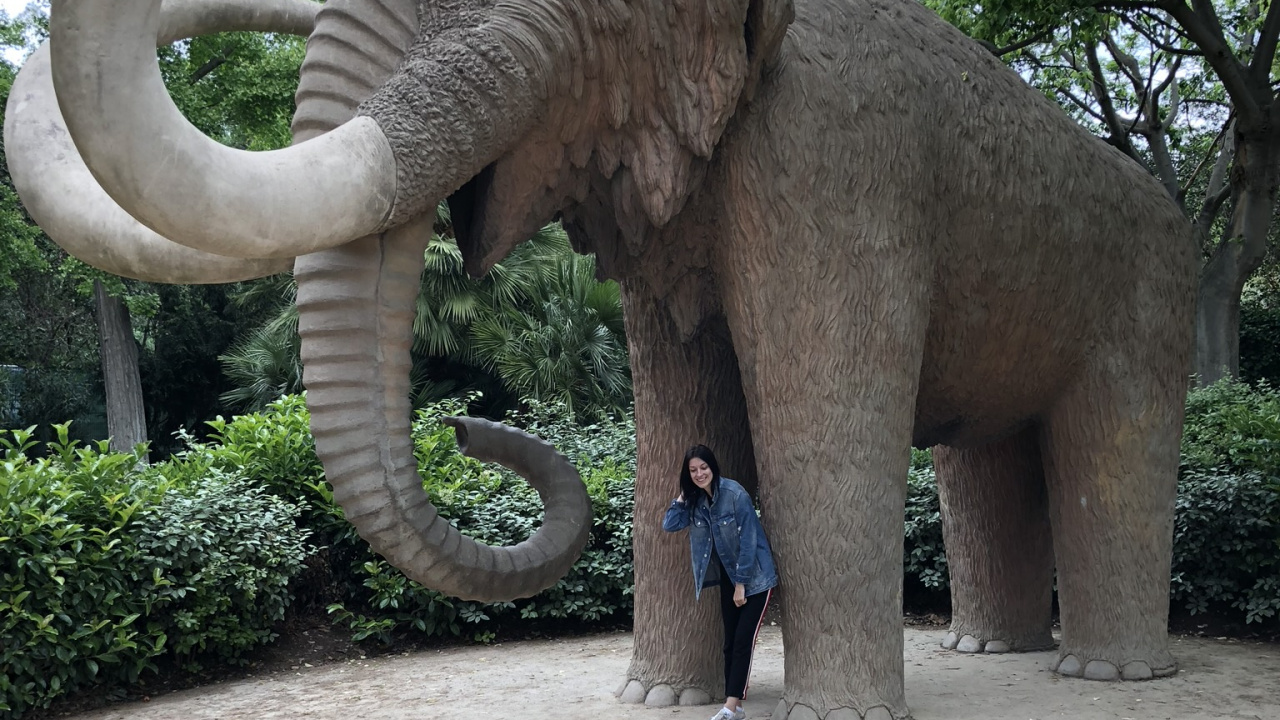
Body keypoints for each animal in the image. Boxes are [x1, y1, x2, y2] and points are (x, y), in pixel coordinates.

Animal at [5, 0, 1198, 718]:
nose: (466, 427)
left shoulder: (838, 160)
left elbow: (822, 416)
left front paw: (835, 716)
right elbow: (679, 389)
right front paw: (661, 703)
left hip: (1146, 293)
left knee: (1112, 444)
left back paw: (1104, 671)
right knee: (982, 460)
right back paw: (990, 656)